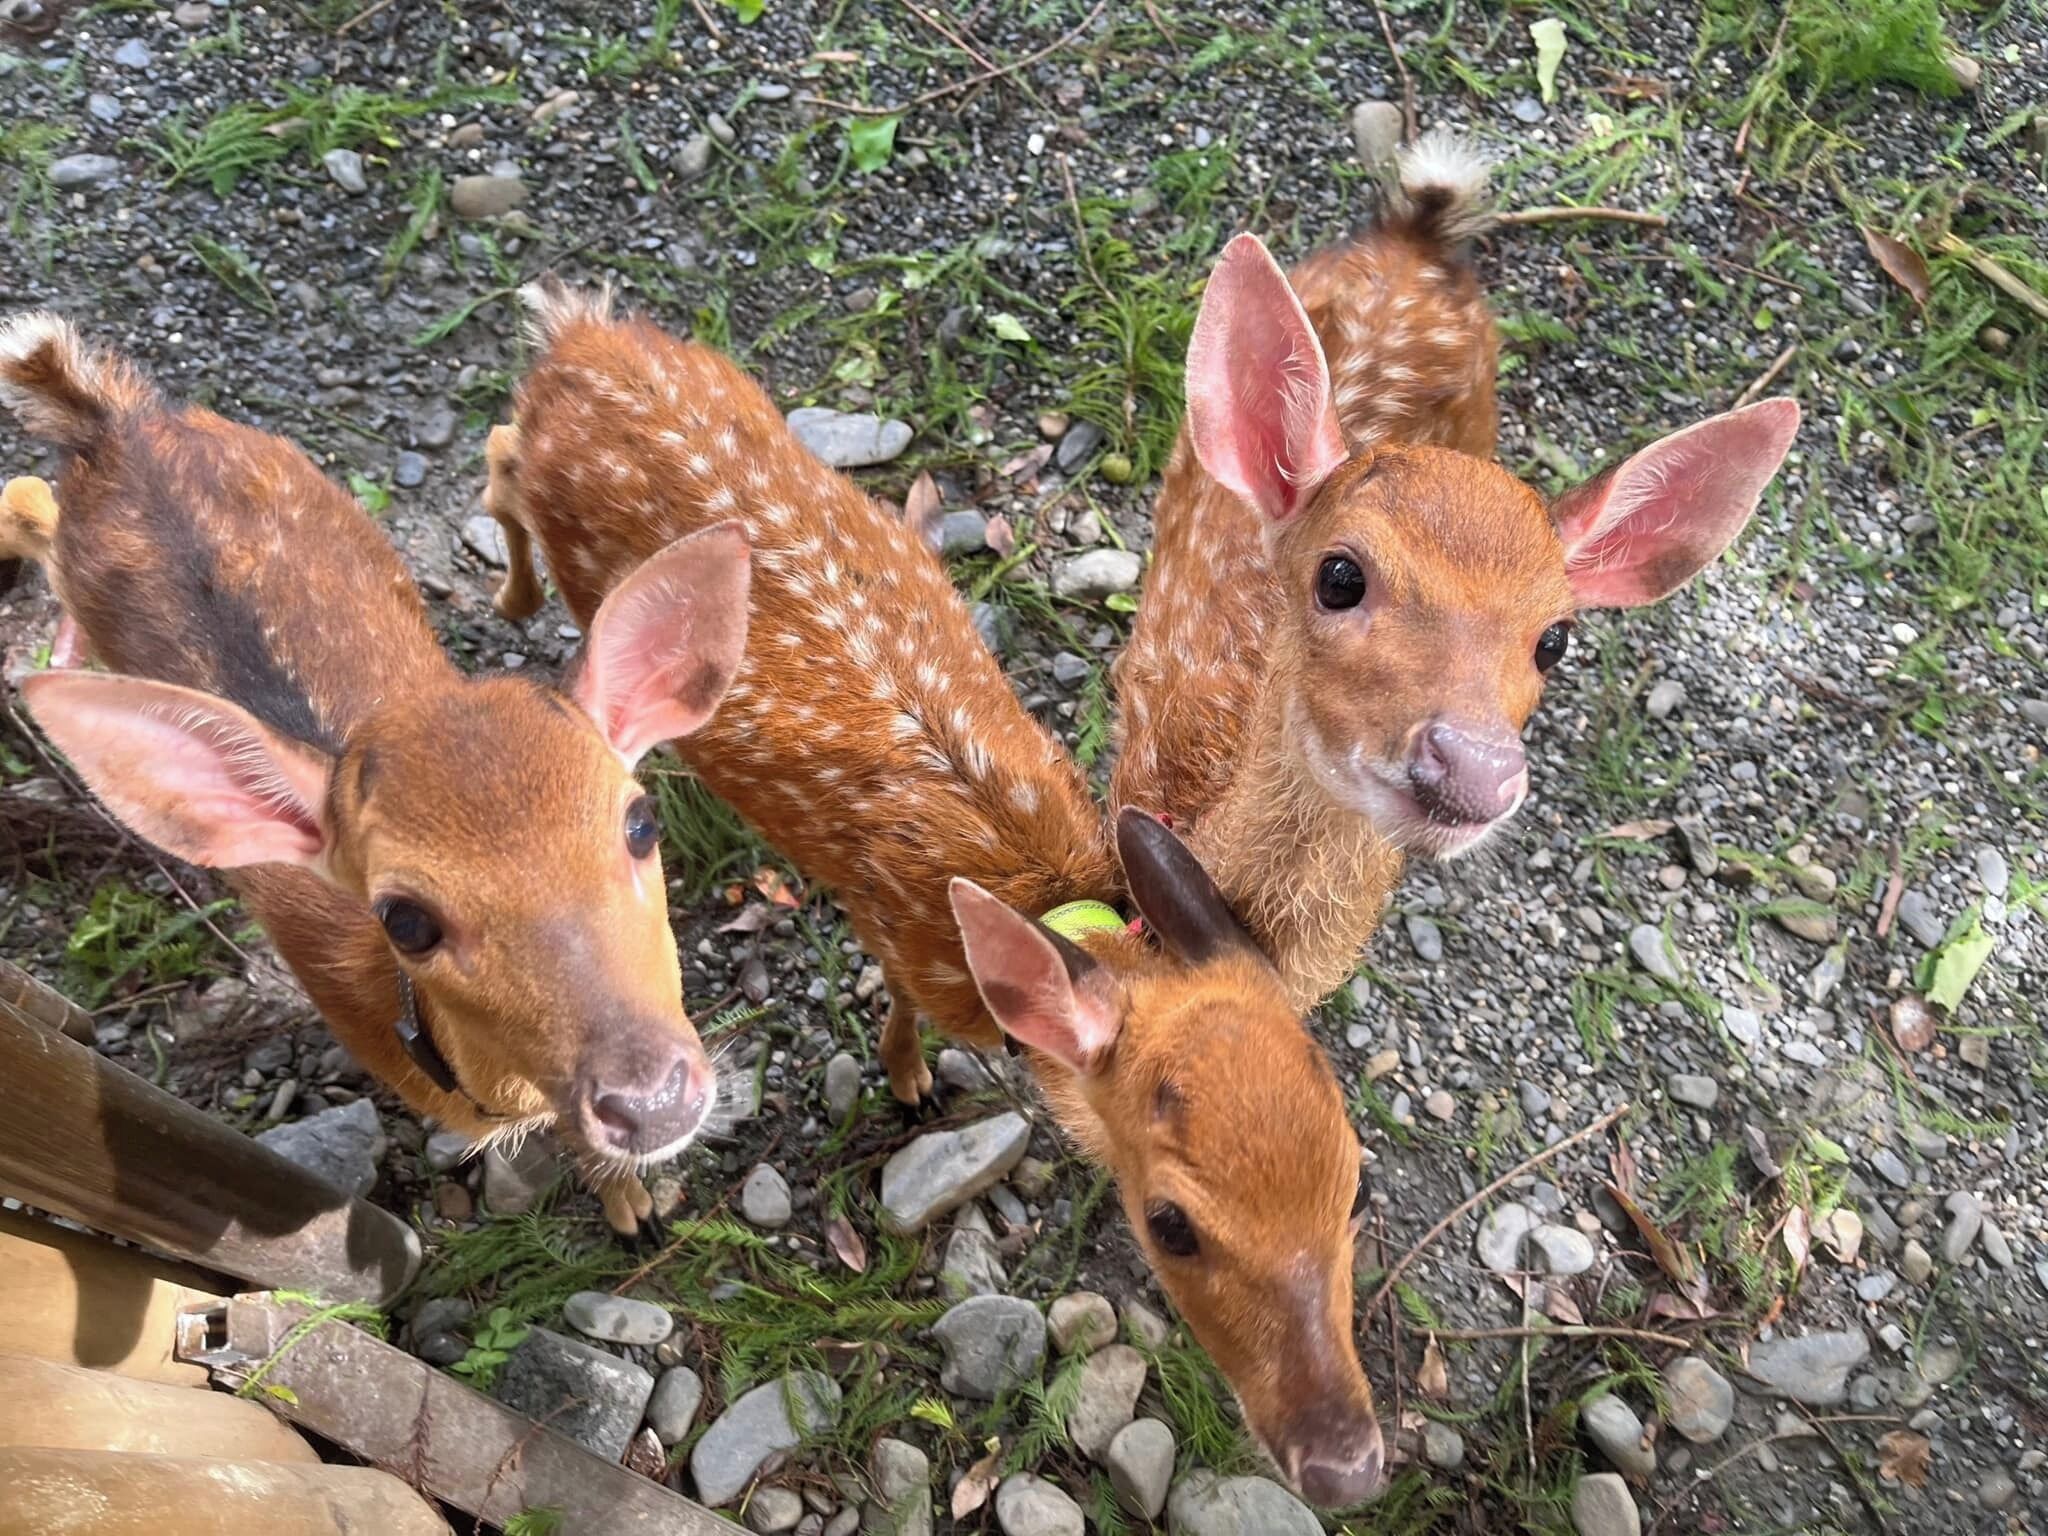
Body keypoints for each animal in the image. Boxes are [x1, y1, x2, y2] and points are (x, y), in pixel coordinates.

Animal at [0, 313, 753, 1238]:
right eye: (406, 920)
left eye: (641, 824)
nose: (648, 1101)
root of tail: (116, 423)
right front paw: (629, 1207)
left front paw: (634, 1204)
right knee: (28, 498)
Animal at [482, 282, 1387, 1508]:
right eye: (1173, 1226)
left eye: (1352, 1179)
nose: (1346, 1465)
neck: (1046, 892)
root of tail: (579, 335)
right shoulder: (897, 929)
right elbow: (901, 1004)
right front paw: (909, 1082)